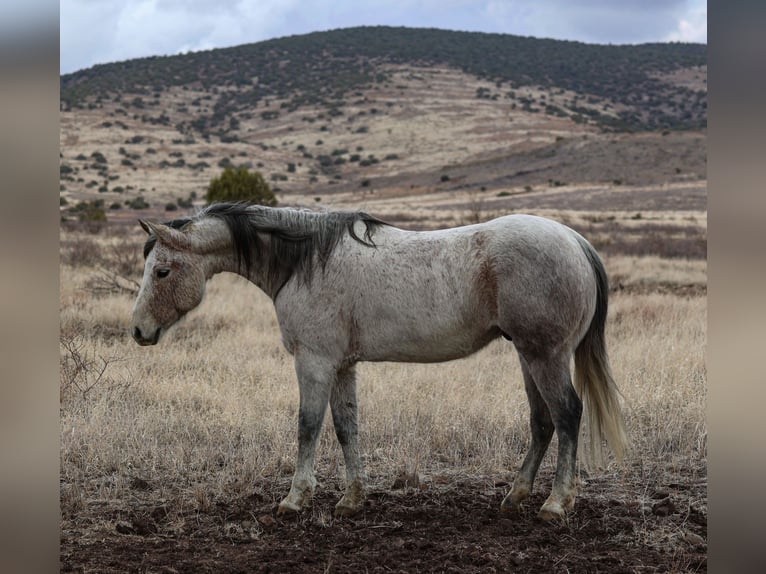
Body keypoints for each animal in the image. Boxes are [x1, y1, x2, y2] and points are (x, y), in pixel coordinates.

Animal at [129, 202, 628, 520]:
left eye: (162, 271)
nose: (137, 331)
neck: (305, 262)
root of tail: (575, 241)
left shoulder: (314, 362)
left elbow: (307, 426)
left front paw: (295, 499)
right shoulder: (342, 366)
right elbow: (346, 427)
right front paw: (352, 498)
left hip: (545, 356)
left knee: (567, 415)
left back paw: (555, 504)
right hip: (529, 356)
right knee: (542, 422)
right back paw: (516, 495)